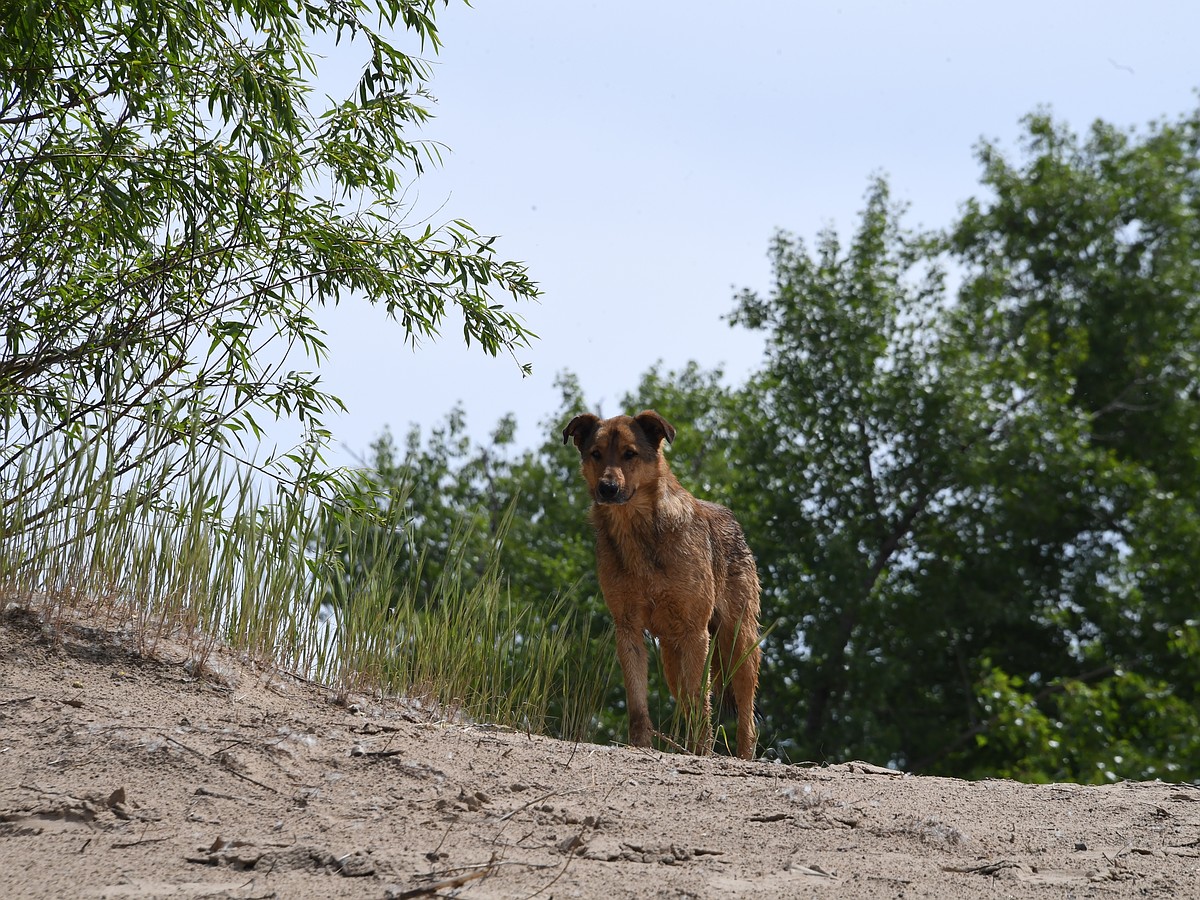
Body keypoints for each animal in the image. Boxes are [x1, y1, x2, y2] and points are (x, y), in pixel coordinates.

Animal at [561, 410, 758, 763]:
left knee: (746, 715)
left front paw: (701, 752)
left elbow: (700, 701)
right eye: (596, 454)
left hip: (738, 643)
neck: (636, 531)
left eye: (630, 454)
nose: (607, 488)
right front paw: (640, 746)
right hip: (671, 656)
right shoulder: (628, 628)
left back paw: (742, 756)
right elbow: (638, 703)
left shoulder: (696, 632)